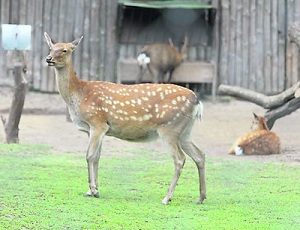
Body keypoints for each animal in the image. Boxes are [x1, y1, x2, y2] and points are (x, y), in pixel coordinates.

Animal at [43, 32, 205, 205]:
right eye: (51, 48)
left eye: (65, 50)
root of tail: (197, 101)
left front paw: (93, 190)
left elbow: (89, 156)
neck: (79, 95)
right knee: (200, 155)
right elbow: (97, 157)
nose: (48, 58)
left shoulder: (97, 123)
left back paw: (167, 198)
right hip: (184, 131)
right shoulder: (94, 129)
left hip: (169, 127)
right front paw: (93, 190)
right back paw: (201, 197)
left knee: (180, 158)